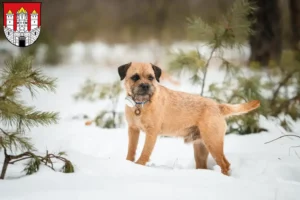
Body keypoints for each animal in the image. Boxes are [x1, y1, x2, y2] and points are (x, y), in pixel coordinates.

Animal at [118, 62, 260, 175]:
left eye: (151, 78)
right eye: (135, 77)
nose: (145, 86)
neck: (140, 105)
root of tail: (218, 106)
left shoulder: (151, 133)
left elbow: (145, 152)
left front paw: (139, 165)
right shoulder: (133, 130)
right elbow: (131, 149)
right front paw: (128, 163)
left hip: (213, 143)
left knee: (225, 164)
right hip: (200, 148)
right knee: (207, 166)